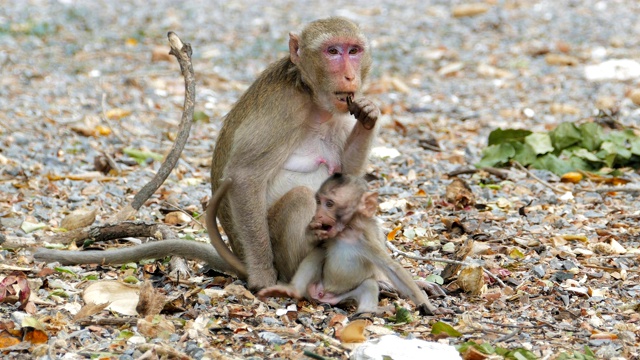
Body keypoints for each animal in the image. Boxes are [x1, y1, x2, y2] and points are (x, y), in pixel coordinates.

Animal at [33, 18, 380, 290]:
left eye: (353, 51)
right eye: (332, 52)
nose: (350, 77)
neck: (310, 93)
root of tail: (238, 257)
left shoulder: (337, 112)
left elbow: (343, 176)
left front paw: (368, 115)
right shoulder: (284, 109)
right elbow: (244, 178)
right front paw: (263, 277)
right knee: (299, 199)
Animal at [258, 174, 442, 316]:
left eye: (329, 204)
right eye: (318, 201)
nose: (318, 214)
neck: (345, 234)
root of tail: (322, 295)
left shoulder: (368, 241)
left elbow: (392, 269)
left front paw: (428, 306)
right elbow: (317, 246)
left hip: (341, 297)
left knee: (368, 284)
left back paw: (370, 311)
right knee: (318, 253)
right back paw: (292, 290)